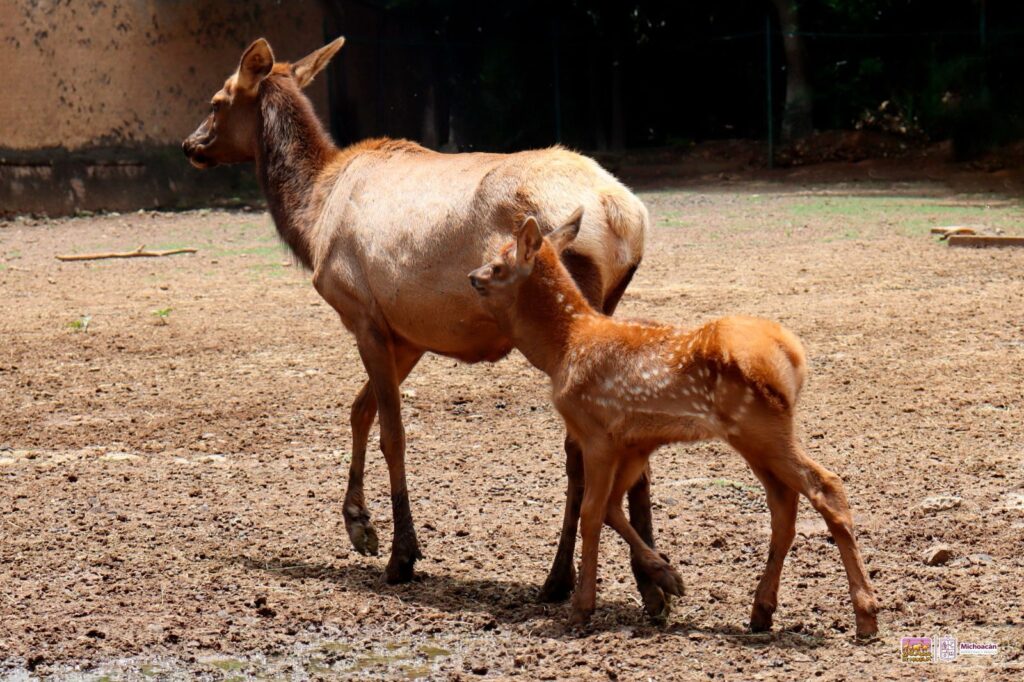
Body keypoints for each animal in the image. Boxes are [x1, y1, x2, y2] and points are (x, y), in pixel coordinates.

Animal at [181, 39, 667, 614]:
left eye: (217, 100)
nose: (190, 145)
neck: (311, 215)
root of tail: (624, 216)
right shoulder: (409, 333)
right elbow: (360, 409)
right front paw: (359, 527)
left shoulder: (361, 313)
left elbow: (392, 432)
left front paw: (401, 554)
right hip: (609, 304)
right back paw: (648, 582)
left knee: (582, 445)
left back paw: (563, 579)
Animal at [468, 209, 880, 634]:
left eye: (497, 266)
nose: (471, 276)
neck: (563, 350)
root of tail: (794, 355)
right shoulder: (635, 442)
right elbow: (613, 507)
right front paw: (668, 577)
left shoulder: (596, 432)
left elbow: (592, 512)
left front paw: (582, 607)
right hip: (753, 437)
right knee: (783, 505)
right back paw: (761, 611)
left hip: (762, 426)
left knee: (826, 486)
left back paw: (865, 615)